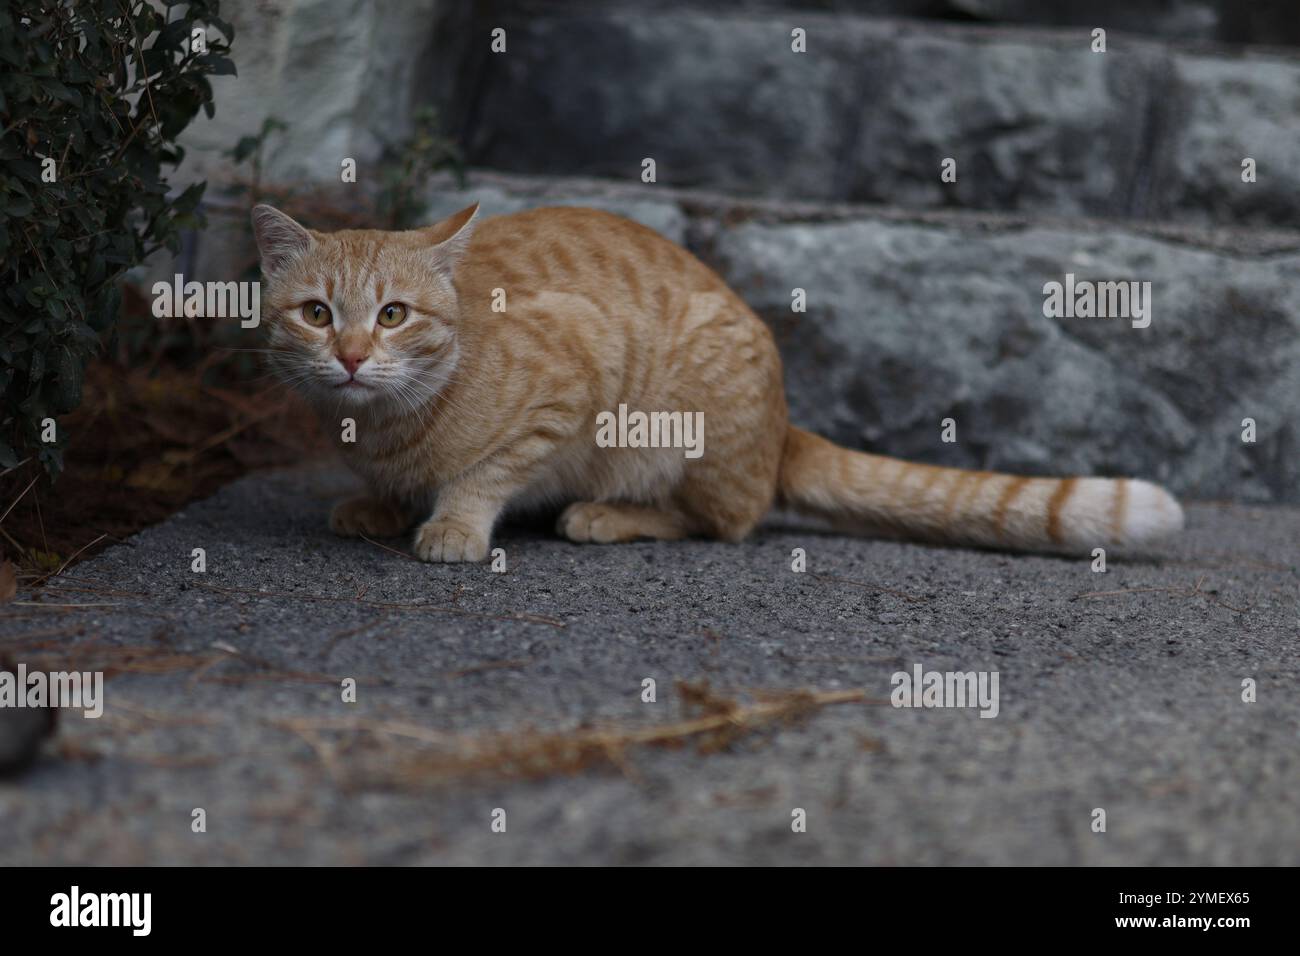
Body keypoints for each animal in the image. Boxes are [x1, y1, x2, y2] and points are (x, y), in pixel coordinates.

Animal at [248, 201, 1185, 561]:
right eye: (319, 314)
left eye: (394, 315)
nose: (353, 357)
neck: (384, 426)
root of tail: (782, 425)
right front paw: (381, 504)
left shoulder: (573, 382)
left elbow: (487, 472)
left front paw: (451, 523)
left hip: (679, 427)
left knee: (725, 520)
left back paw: (606, 515)